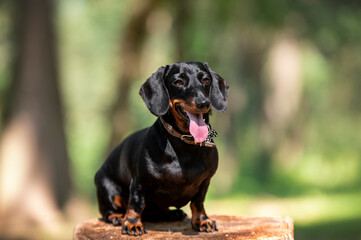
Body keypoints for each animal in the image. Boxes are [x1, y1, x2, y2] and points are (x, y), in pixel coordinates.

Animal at [93, 61, 228, 235]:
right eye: (178, 82)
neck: (184, 145)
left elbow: (198, 202)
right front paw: (132, 223)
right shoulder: (139, 181)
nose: (204, 103)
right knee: (107, 211)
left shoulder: (205, 181)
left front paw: (202, 220)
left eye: (206, 80)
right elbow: (136, 204)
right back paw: (117, 216)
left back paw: (172, 214)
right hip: (108, 188)